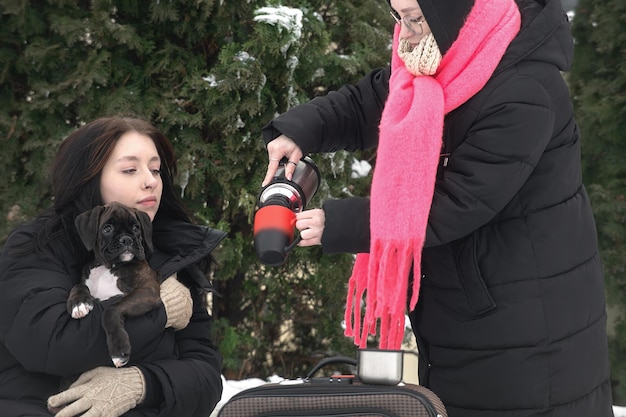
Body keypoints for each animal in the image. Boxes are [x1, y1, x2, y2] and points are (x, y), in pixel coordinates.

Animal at [69, 202, 160, 368]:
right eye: (107, 229)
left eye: (136, 228)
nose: (126, 240)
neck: (108, 267)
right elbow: (79, 286)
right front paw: (78, 303)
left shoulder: (147, 291)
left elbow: (110, 310)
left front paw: (119, 350)